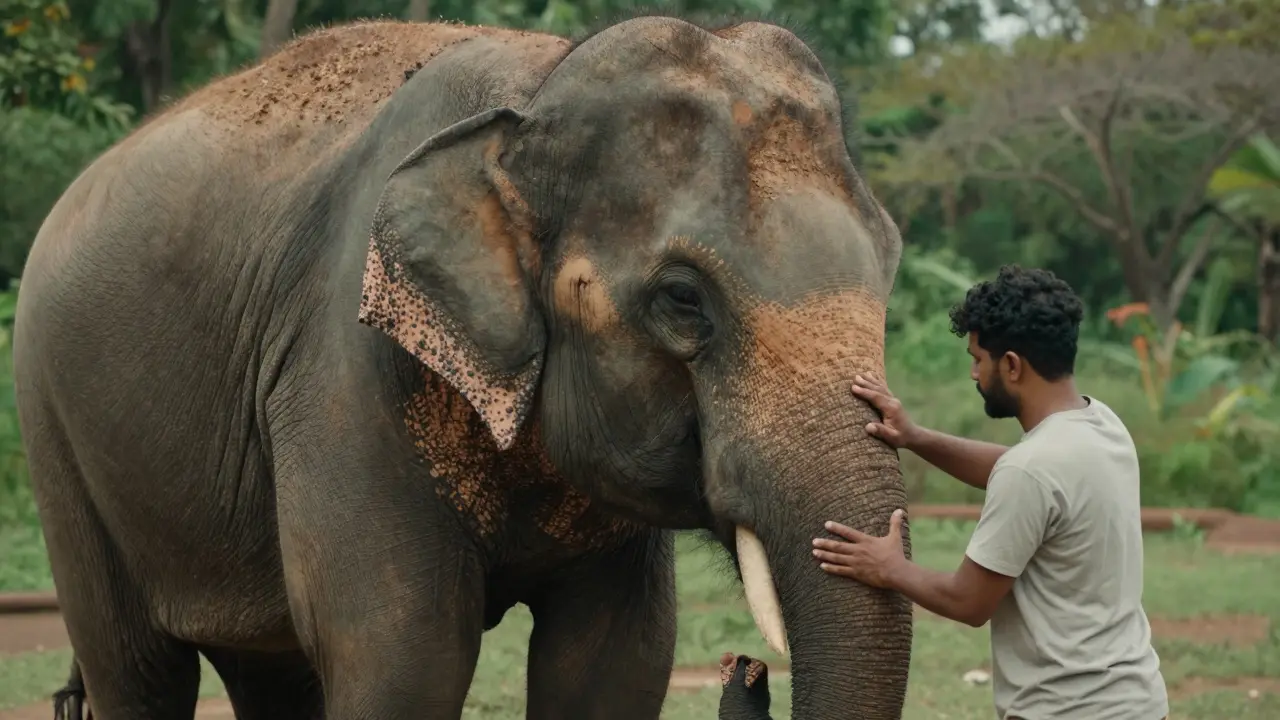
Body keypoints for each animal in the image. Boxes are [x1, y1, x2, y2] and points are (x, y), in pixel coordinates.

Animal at [14, 11, 911, 720]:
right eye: (683, 299)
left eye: (892, 263)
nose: (748, 674)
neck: (536, 90)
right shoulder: (346, 362)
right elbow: (405, 652)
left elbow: (615, 661)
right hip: (56, 430)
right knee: (138, 672)